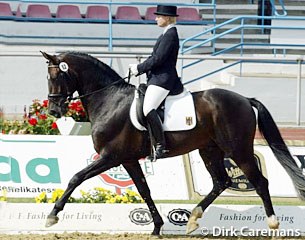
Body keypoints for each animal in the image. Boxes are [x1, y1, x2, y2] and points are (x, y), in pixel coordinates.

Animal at [41, 52, 304, 234]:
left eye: (56, 76)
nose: (54, 110)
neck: (110, 100)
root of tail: (244, 99)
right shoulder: (128, 159)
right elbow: (144, 190)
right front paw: (157, 227)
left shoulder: (110, 157)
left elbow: (76, 177)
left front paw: (52, 216)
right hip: (209, 150)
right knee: (221, 181)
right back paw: (193, 218)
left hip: (237, 149)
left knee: (260, 181)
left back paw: (273, 223)